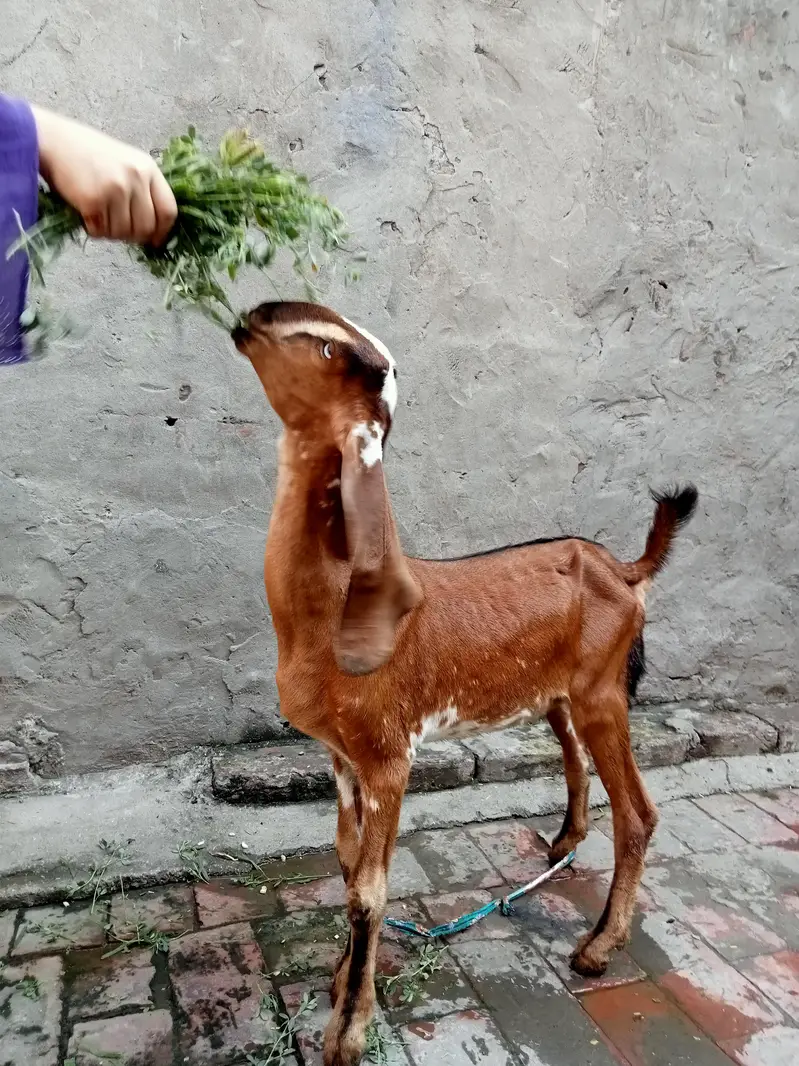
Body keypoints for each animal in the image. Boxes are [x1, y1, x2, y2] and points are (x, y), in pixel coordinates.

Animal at [233, 301, 698, 1066]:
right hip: (560, 697)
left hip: (602, 692)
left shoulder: (388, 754)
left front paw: (347, 1030)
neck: (328, 610)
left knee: (638, 813)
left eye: (329, 348)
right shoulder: (339, 756)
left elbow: (369, 891)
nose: (248, 317)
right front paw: (339, 980)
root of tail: (625, 570)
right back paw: (561, 847)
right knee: (577, 766)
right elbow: (346, 865)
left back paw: (598, 947)